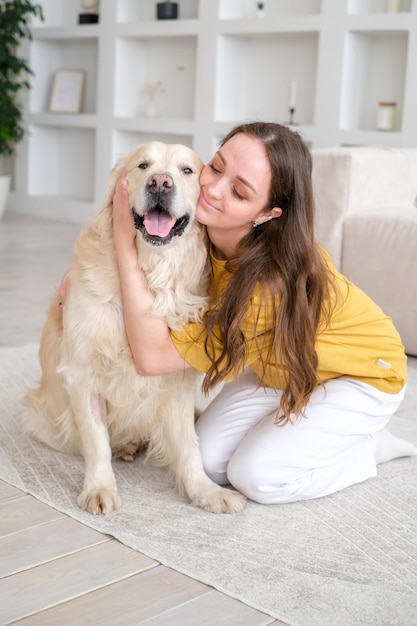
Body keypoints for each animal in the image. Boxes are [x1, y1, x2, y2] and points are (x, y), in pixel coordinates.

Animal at [23, 141, 244, 512]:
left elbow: (189, 444)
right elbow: (97, 441)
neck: (150, 270)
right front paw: (100, 488)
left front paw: (205, 491)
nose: (160, 183)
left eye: (187, 170)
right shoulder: (83, 372)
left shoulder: (176, 383)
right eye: (143, 166)